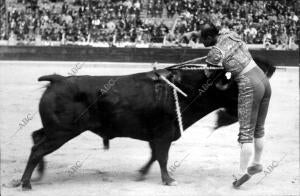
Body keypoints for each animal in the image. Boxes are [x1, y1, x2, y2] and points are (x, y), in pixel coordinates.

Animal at [15, 57, 276, 190]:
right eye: (236, 87)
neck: (185, 89)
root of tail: (57, 79)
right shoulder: (164, 134)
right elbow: (162, 157)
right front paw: (168, 180)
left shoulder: (158, 136)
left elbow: (154, 156)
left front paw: (142, 174)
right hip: (61, 132)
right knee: (37, 148)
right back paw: (26, 183)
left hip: (55, 130)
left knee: (36, 137)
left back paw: (37, 175)